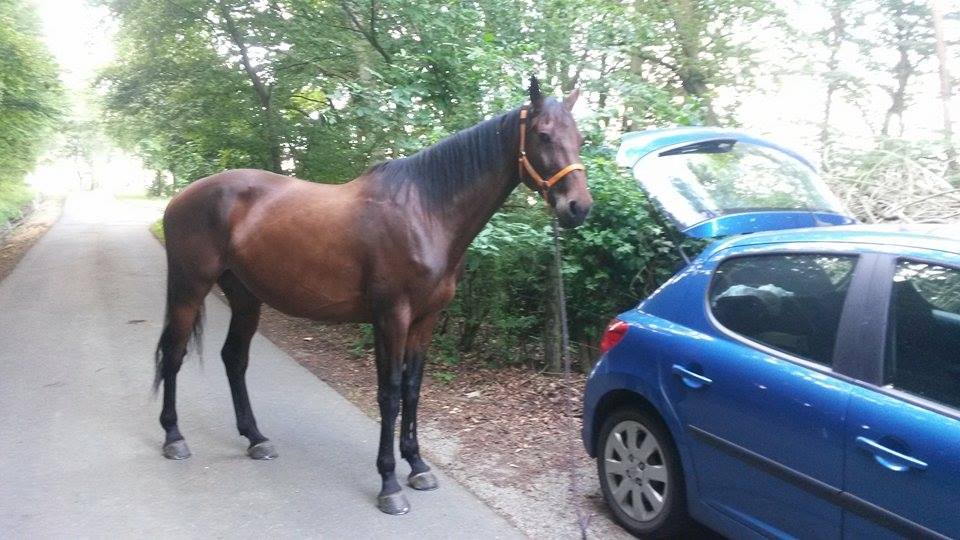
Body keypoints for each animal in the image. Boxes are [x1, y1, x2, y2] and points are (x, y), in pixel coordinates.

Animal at [154, 76, 593, 515]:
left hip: (245, 297)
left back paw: (256, 438)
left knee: (234, 358)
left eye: (580, 138)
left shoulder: (425, 320)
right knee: (174, 354)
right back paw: (174, 438)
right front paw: (389, 483)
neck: (425, 211)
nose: (579, 207)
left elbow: (413, 390)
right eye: (543, 135)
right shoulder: (391, 317)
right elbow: (390, 394)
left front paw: (417, 466)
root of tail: (180, 197)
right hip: (189, 288)